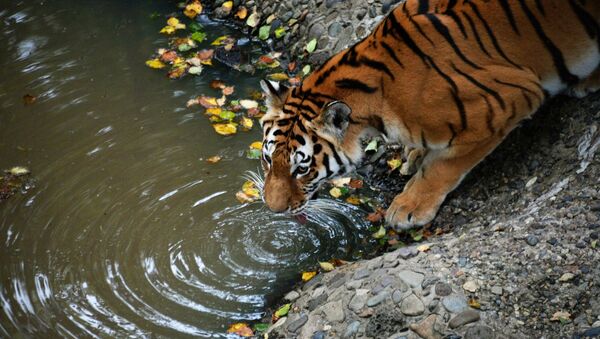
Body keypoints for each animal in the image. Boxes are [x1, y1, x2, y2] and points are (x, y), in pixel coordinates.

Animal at [256, 0, 600, 230]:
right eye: (268, 159)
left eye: (302, 169)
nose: (272, 210)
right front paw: (414, 155)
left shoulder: (503, 103)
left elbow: (444, 166)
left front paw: (408, 207)